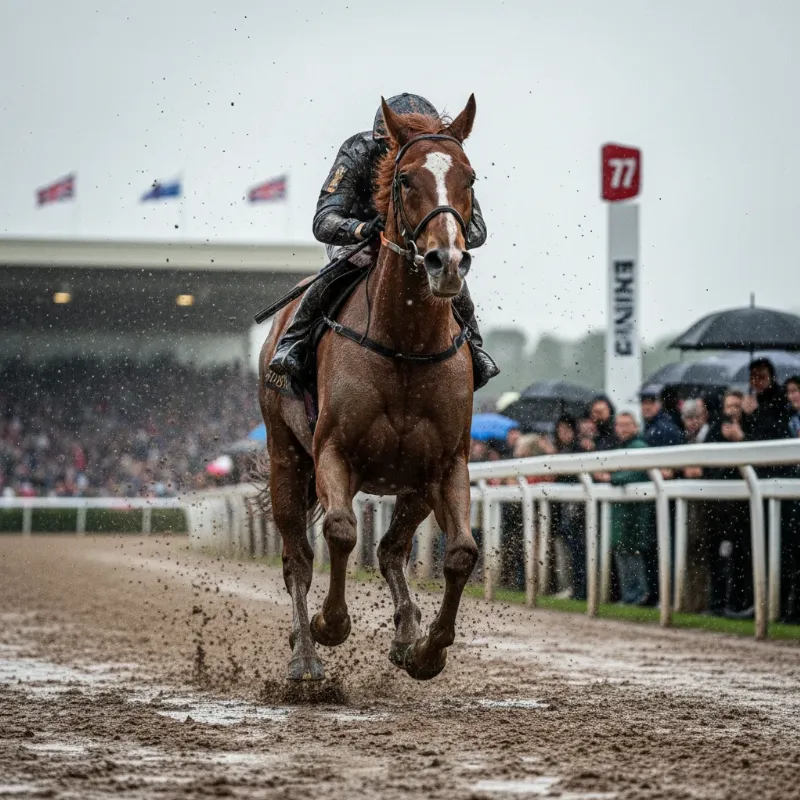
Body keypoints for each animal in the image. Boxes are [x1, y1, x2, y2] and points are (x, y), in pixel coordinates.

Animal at [258, 95, 480, 681]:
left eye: (470, 177)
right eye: (404, 179)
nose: (447, 262)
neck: (405, 346)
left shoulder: (446, 463)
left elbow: (460, 554)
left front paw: (427, 650)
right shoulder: (332, 450)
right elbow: (339, 530)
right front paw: (329, 625)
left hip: (411, 485)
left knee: (390, 550)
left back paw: (405, 633)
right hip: (286, 459)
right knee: (296, 561)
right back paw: (305, 659)